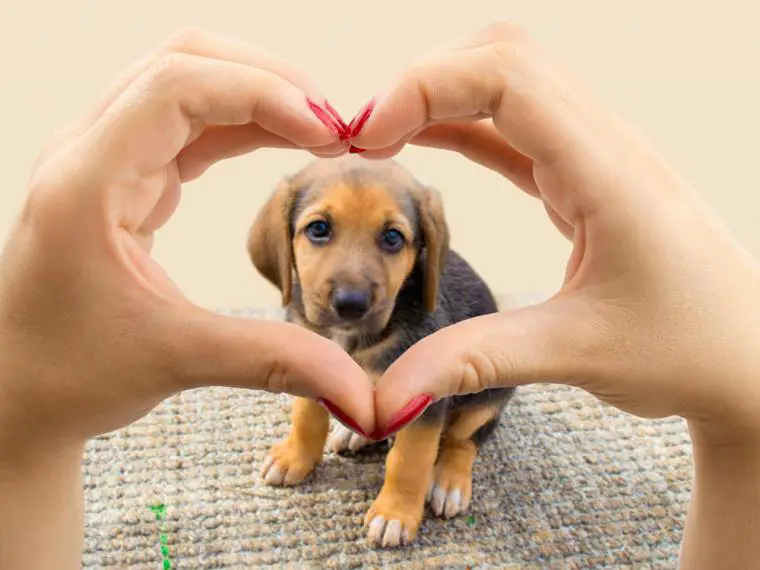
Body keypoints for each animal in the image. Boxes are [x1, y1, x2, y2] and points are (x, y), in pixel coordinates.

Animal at [246, 154, 512, 544]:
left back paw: (449, 482)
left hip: (486, 397)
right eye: (318, 229)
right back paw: (352, 432)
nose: (350, 304)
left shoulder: (424, 402)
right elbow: (306, 418)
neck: (352, 340)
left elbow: (409, 461)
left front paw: (395, 514)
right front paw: (295, 457)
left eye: (392, 237)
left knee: (463, 440)